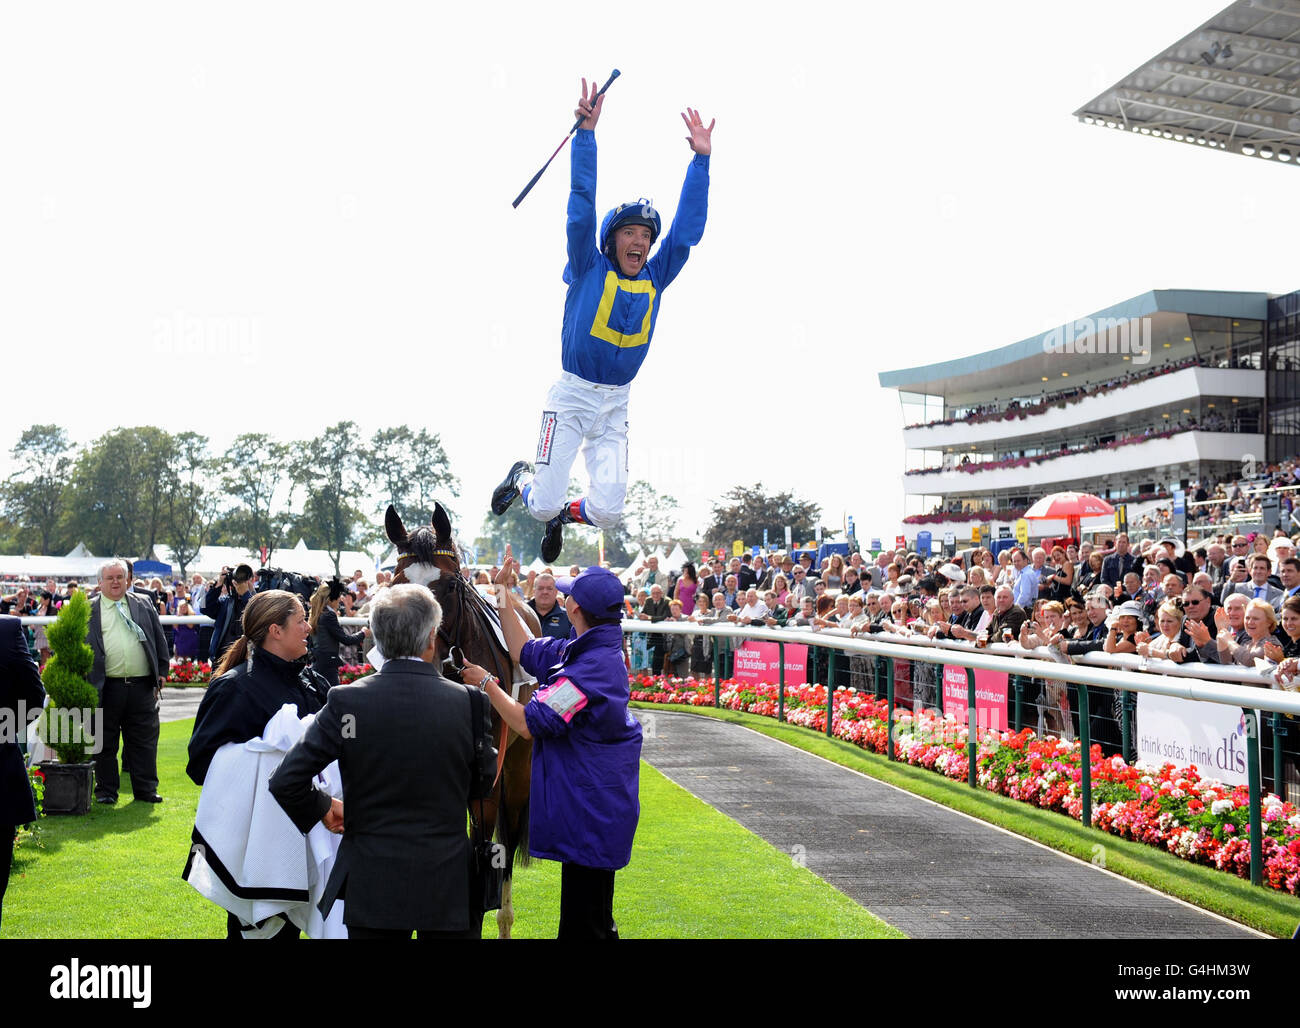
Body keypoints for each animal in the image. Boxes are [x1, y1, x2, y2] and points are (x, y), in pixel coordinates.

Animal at [379, 501, 538, 940]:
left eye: (450, 586)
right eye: (396, 583)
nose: (423, 652)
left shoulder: (486, 785)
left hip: (518, 766)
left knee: (507, 839)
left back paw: (505, 919)